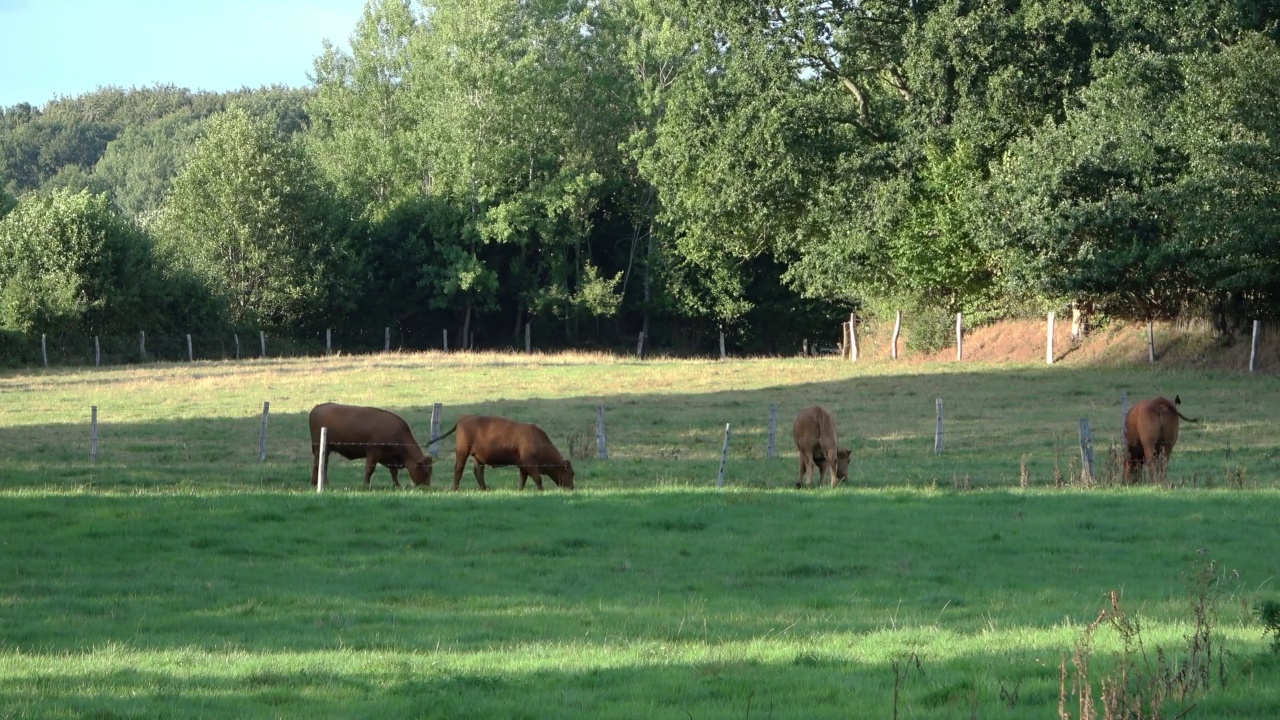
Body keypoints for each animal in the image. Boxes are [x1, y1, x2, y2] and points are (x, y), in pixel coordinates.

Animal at [435, 412, 576, 489]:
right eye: (572, 473)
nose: (571, 487)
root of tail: (463, 419)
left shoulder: (523, 466)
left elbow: (523, 480)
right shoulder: (529, 463)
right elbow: (537, 478)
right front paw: (542, 490)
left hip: (478, 457)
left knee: (478, 471)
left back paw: (484, 488)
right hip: (462, 453)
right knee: (459, 469)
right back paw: (455, 489)